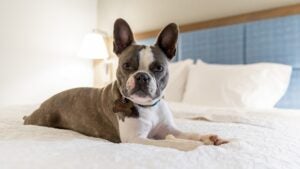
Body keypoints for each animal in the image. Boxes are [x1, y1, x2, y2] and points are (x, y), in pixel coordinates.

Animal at [24, 18, 227, 152]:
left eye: (158, 68)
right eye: (127, 66)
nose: (142, 77)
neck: (147, 107)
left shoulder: (168, 129)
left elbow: (186, 133)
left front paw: (206, 137)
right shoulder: (136, 138)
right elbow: (168, 142)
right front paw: (192, 145)